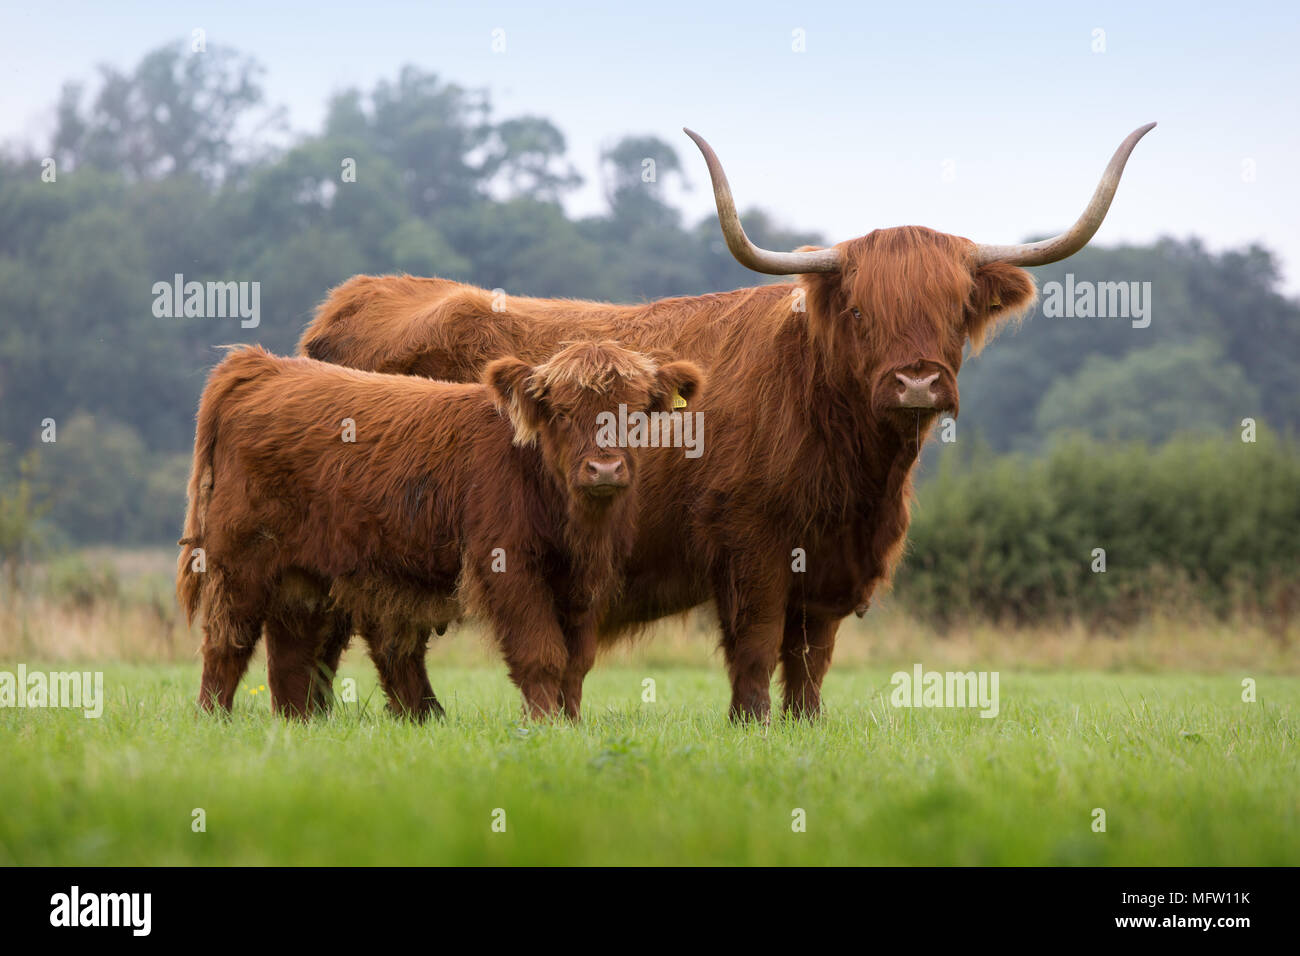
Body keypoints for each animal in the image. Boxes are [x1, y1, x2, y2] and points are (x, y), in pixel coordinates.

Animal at [176, 342, 703, 720]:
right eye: (561, 413)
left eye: (635, 414)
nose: (605, 469)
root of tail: (263, 366)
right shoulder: (508, 569)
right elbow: (540, 653)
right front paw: (543, 726)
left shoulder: (585, 581)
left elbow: (576, 662)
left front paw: (569, 724)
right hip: (240, 562)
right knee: (226, 641)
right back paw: (213, 719)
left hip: (303, 576)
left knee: (292, 655)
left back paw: (298, 724)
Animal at [292, 124, 1155, 722]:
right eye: (864, 313)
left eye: (953, 311)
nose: (917, 380)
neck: (858, 471)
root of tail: (354, 298)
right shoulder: (753, 544)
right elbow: (757, 646)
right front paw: (752, 726)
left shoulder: (832, 564)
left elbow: (811, 658)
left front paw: (806, 727)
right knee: (379, 632)